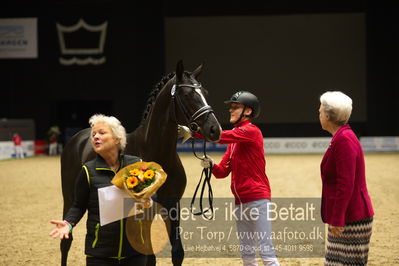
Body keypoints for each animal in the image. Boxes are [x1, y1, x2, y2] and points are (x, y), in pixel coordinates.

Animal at [59, 60, 222, 266]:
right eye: (186, 95)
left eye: (205, 93)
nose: (214, 129)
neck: (155, 151)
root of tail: (76, 139)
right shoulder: (144, 213)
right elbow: (148, 257)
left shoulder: (172, 208)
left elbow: (177, 253)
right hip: (70, 197)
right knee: (66, 242)